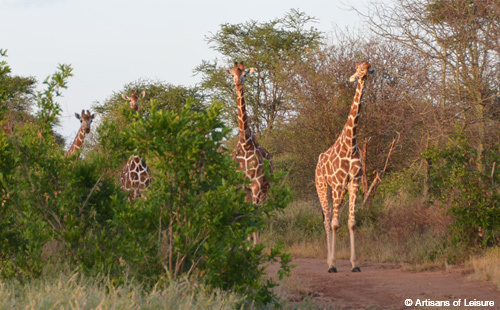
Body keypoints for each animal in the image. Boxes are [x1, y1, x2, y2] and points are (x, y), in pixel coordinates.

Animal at [227, 61, 274, 243]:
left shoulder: (257, 184)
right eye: (232, 74)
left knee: (260, 213)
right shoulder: (240, 186)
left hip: (265, 190)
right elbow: (244, 215)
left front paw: (254, 246)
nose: (238, 83)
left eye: (245, 74)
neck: (245, 143)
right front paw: (245, 245)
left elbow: (254, 216)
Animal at [314, 61, 374, 274]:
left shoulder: (354, 183)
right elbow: (334, 224)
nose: (364, 72)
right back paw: (328, 262)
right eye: (358, 68)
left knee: (331, 216)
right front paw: (333, 264)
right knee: (327, 219)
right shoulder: (339, 184)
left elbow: (351, 223)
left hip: (337, 190)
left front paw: (355, 264)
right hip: (322, 186)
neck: (350, 143)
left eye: (368, 67)